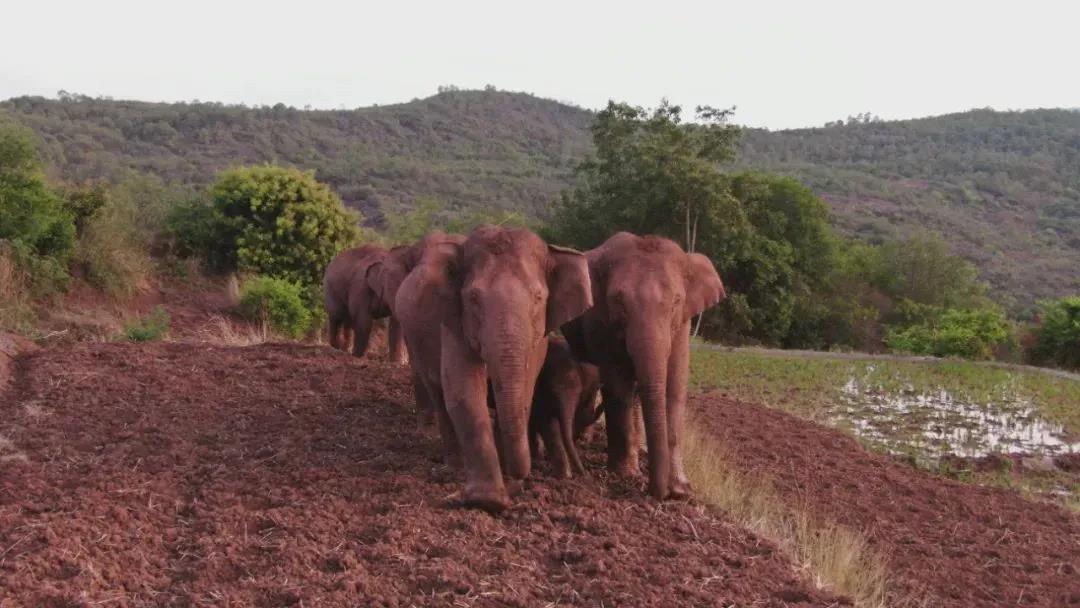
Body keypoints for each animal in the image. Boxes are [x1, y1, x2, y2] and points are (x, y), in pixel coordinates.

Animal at [395, 225, 591, 511]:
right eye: (474, 298)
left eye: (538, 297)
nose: (519, 478)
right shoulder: (455, 323)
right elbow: (464, 391)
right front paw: (487, 501)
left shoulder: (538, 338)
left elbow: (525, 390)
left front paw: (507, 477)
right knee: (438, 394)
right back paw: (454, 465)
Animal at [565, 231, 725, 501]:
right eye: (618, 301)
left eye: (676, 301)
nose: (659, 494)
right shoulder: (601, 321)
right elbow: (618, 386)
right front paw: (627, 474)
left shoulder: (683, 324)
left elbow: (675, 386)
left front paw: (682, 490)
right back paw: (587, 439)